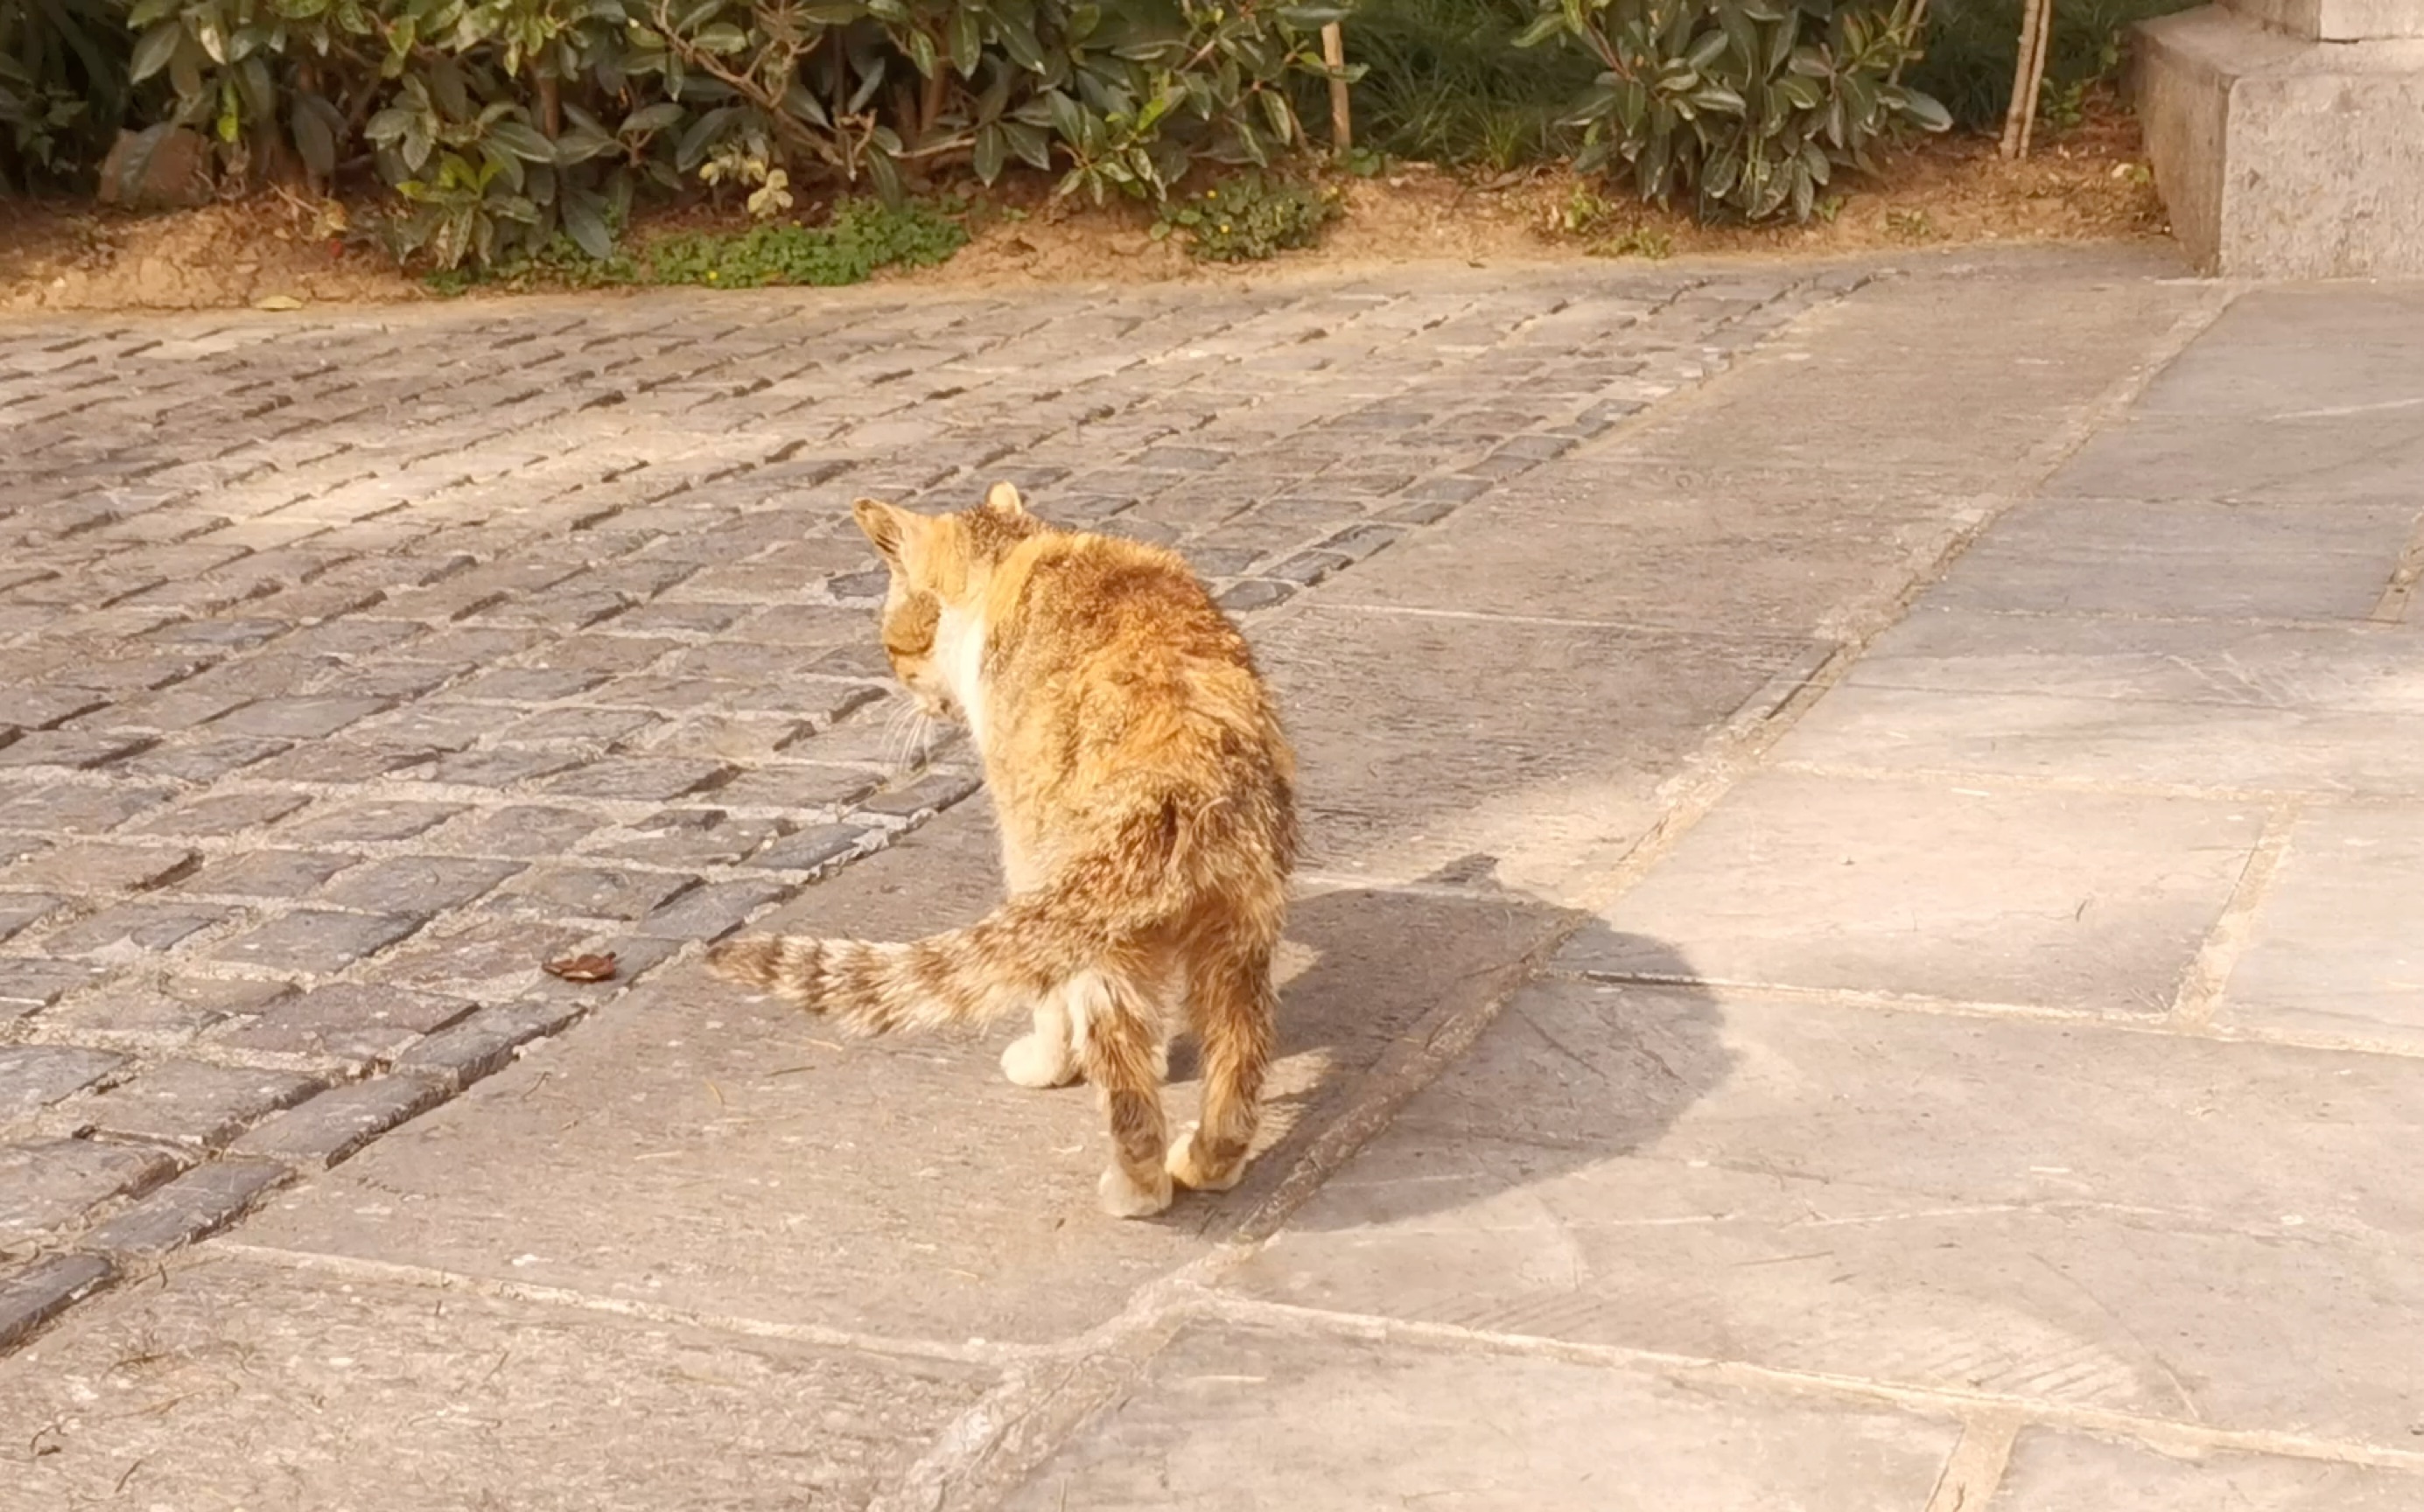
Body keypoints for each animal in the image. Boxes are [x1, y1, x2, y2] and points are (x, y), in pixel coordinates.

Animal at [707, 484, 1299, 1216]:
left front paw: (1049, 1063)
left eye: (891, 644)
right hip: (1237, 935)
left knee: (1127, 1089)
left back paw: (1135, 1189)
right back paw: (1208, 1161)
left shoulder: (1028, 859)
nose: (908, 688)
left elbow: (1048, 998)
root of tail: (1184, 772)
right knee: (1238, 1063)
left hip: (1100, 929)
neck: (1018, 557)